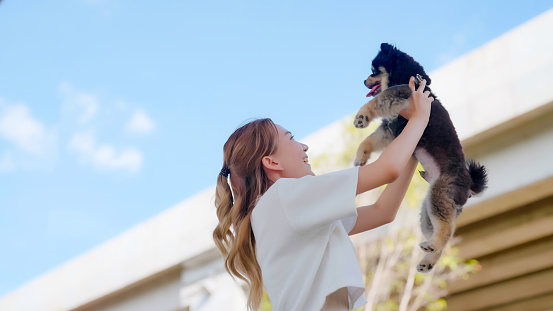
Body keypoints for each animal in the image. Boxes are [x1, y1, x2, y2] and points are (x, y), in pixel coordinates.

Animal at [354, 43, 488, 272]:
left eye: (373, 70)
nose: (363, 81)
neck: (408, 77)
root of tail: (470, 185)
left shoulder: (401, 93)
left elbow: (376, 101)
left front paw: (362, 116)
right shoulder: (390, 129)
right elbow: (369, 140)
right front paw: (361, 157)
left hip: (439, 193)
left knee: (446, 231)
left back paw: (433, 246)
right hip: (430, 209)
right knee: (443, 235)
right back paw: (428, 259)